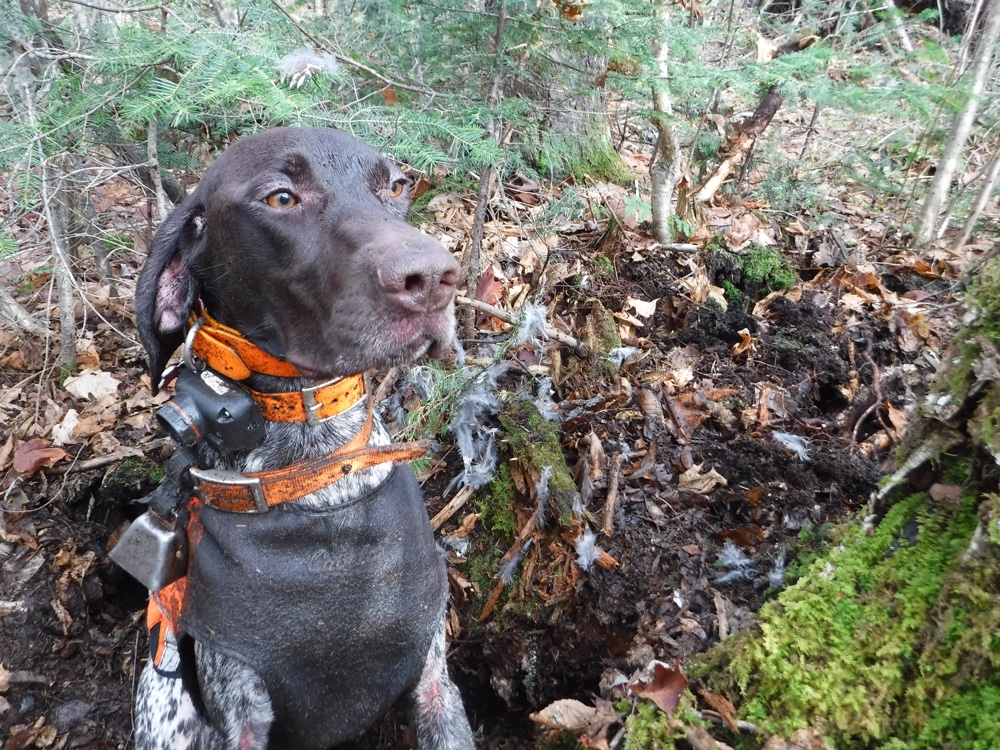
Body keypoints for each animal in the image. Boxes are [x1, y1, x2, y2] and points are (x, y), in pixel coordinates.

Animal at [131, 126, 474, 748]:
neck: (318, 473)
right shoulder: (242, 714)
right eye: (281, 198)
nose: (434, 280)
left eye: (397, 185)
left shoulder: (434, 679)